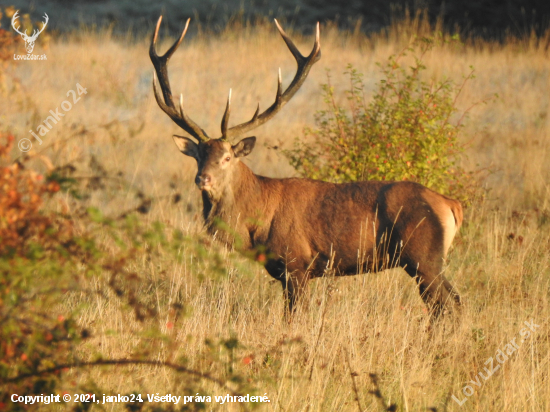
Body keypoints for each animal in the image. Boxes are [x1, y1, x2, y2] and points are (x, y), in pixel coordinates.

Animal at [151, 16, 466, 318]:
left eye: (227, 157)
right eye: (198, 156)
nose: (202, 179)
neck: (257, 223)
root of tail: (451, 205)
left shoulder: (296, 263)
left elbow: (294, 316)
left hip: (423, 256)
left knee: (448, 302)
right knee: (449, 302)